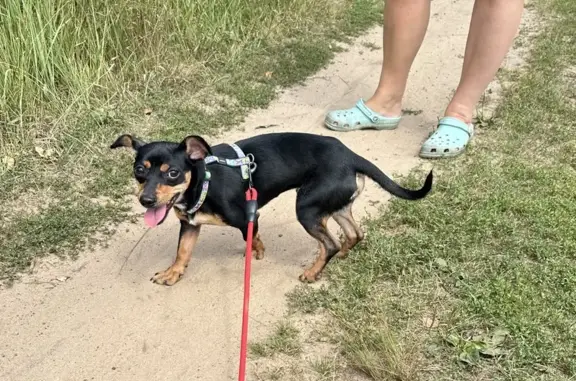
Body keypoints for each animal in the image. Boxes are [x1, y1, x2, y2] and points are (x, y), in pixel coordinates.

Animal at [110, 132, 432, 284]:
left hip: (307, 207)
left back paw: (313, 272)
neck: (203, 180)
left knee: (329, 242)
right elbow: (182, 252)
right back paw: (339, 256)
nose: (146, 200)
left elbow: (253, 237)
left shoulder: (247, 216)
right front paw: (172, 273)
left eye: (173, 173)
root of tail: (352, 156)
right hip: (334, 204)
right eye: (139, 170)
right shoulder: (190, 224)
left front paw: (257, 252)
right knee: (354, 234)